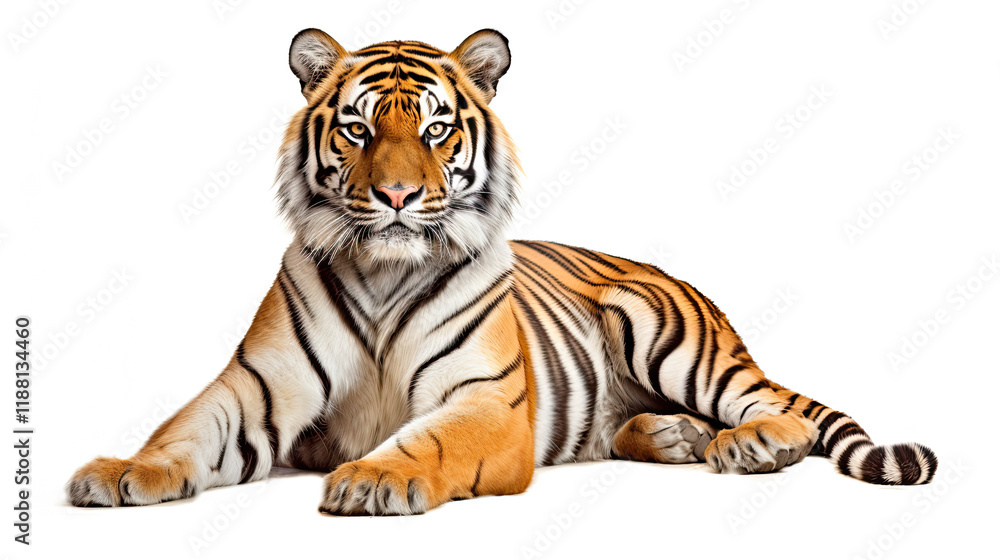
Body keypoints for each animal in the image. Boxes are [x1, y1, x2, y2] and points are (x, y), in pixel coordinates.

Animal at [67, 28, 937, 515]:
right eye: (357, 129)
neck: (384, 274)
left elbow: (429, 441)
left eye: (434, 129)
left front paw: (373, 478)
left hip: (665, 332)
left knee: (779, 405)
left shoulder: (484, 400)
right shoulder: (258, 386)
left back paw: (749, 444)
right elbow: (182, 431)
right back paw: (675, 435)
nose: (395, 195)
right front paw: (121, 472)